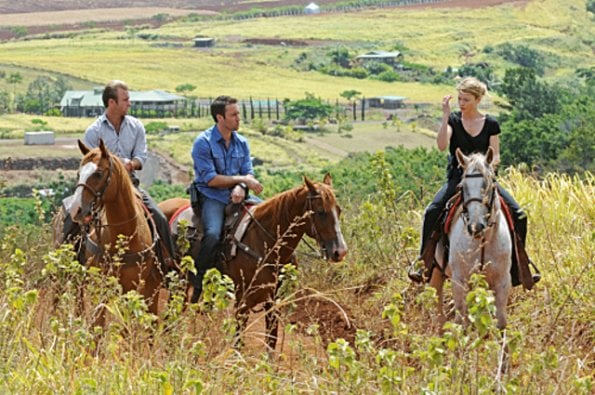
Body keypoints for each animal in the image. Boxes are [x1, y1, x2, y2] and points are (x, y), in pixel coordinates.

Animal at [64, 139, 165, 328]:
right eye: (78, 174)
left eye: (98, 173)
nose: (76, 210)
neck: (125, 231)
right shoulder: (100, 284)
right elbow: (98, 323)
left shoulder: (132, 286)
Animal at [159, 173, 350, 350]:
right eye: (320, 212)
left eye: (339, 210)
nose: (340, 251)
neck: (264, 242)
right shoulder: (242, 302)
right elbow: (238, 342)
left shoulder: (273, 302)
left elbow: (271, 341)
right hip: (178, 280)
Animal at [430, 146, 516, 332]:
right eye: (462, 186)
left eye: (490, 183)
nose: (475, 226)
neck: (483, 241)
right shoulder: (459, 280)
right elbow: (462, 321)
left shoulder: (502, 280)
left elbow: (500, 322)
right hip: (435, 273)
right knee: (438, 309)